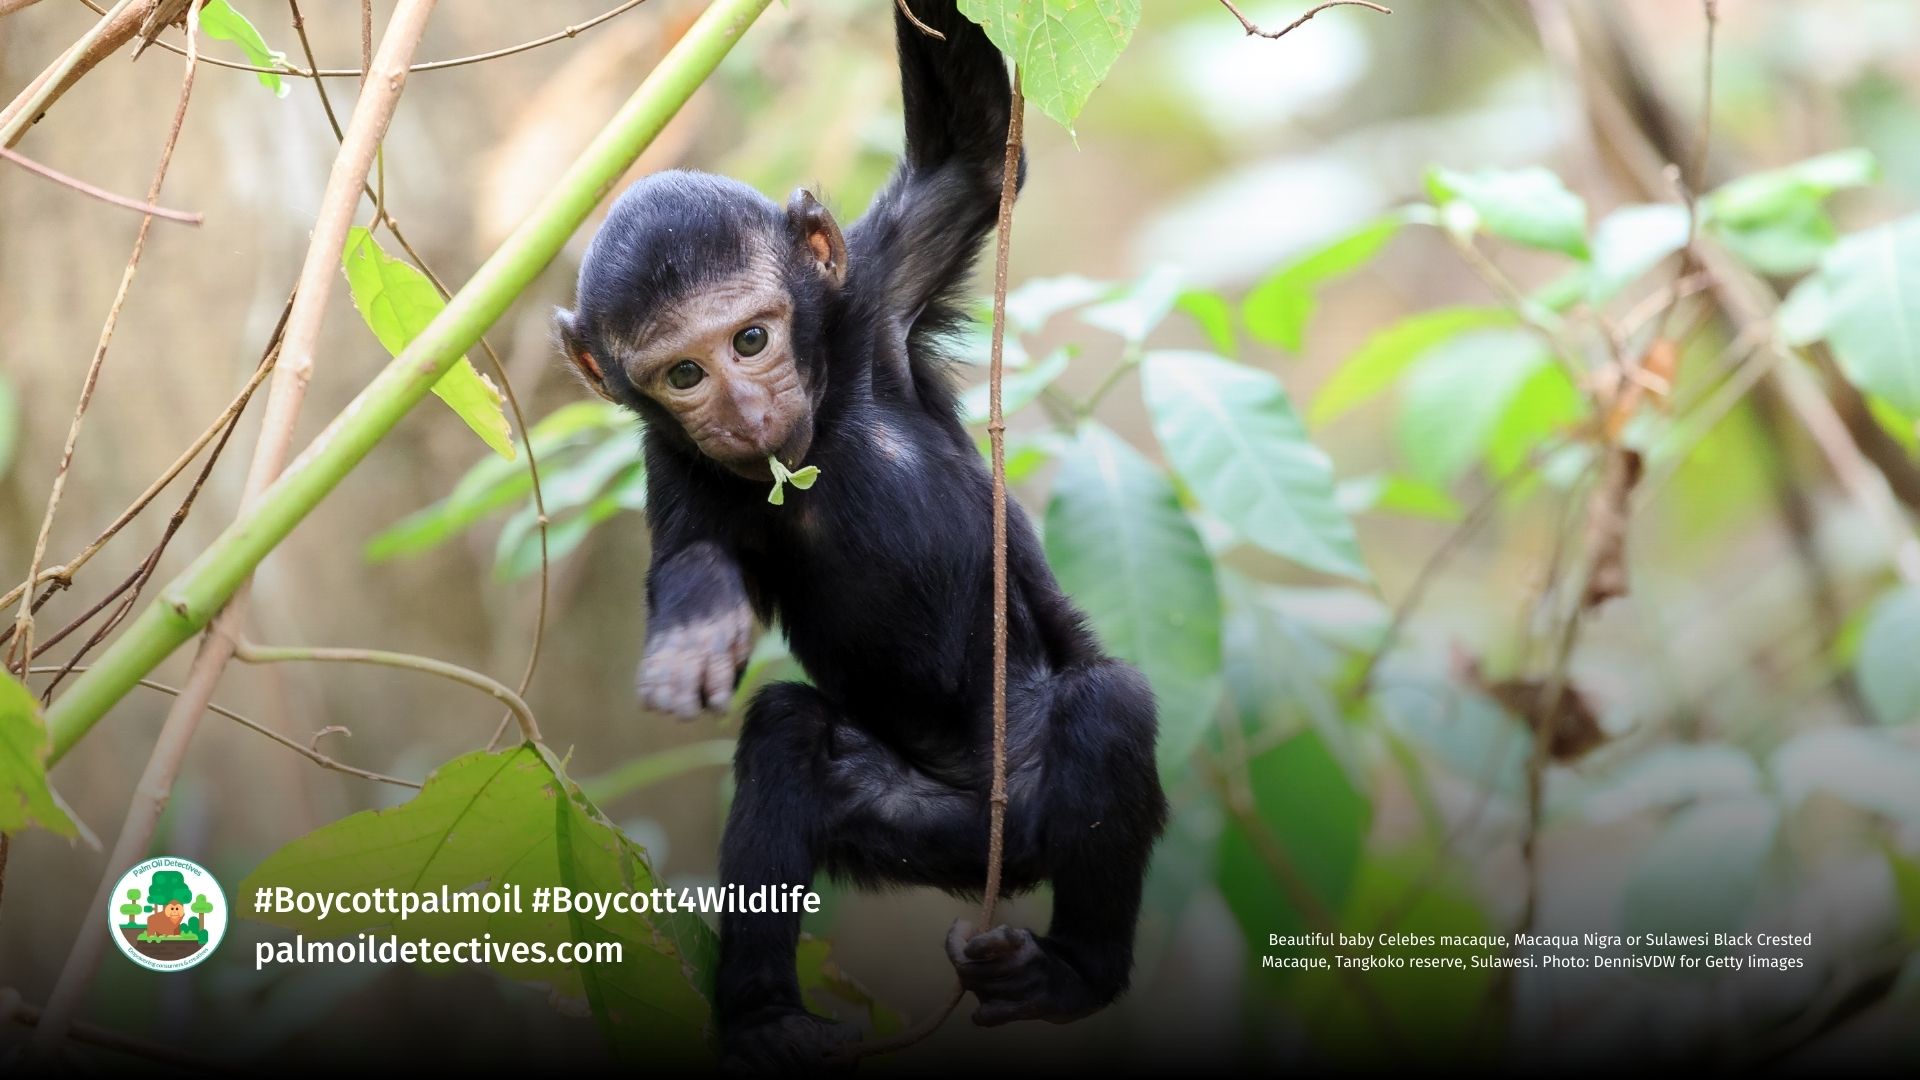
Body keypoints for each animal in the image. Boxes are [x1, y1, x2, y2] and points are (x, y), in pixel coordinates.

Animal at [555, 2, 1167, 1070]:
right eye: (684, 374)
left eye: (751, 339)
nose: (744, 408)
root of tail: (1004, 841)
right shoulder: (670, 459)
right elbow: (688, 559)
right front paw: (696, 628)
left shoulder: (882, 288)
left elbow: (972, 157)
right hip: (918, 828)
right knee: (785, 733)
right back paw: (765, 1018)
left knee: (1111, 704)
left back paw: (1070, 974)